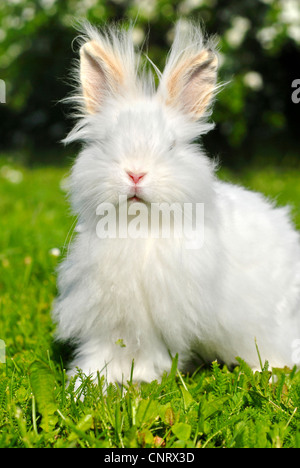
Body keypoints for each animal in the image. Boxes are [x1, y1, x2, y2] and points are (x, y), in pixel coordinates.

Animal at [52, 20, 300, 384]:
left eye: (170, 146)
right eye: (109, 142)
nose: (136, 173)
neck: (140, 228)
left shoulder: (161, 319)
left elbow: (150, 354)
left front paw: (138, 380)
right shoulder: (110, 315)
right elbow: (102, 351)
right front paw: (86, 381)